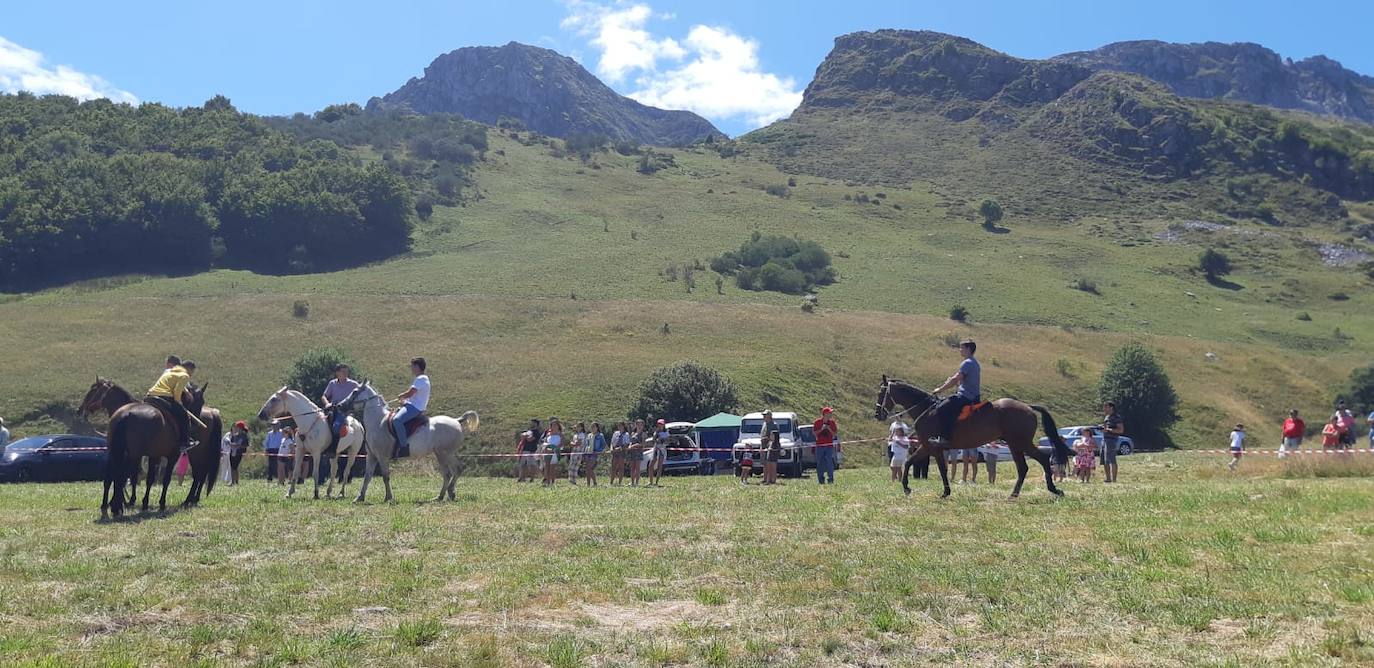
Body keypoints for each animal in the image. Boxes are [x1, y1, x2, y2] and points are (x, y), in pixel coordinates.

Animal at [80, 379, 221, 508]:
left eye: (93, 391)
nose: (80, 410)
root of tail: (212, 412)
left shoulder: (148, 455)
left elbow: (141, 476)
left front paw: (135, 500)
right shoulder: (155, 455)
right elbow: (146, 477)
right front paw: (137, 500)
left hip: (196, 453)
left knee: (200, 473)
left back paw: (190, 500)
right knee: (199, 474)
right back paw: (190, 500)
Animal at [338, 382, 478, 500]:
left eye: (355, 392)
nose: (339, 405)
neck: (378, 421)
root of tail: (457, 420)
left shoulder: (382, 457)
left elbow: (385, 476)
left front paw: (388, 497)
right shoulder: (372, 456)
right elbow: (367, 477)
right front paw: (360, 497)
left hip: (444, 453)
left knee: (453, 471)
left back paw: (446, 493)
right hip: (442, 454)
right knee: (451, 473)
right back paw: (444, 495)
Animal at [873, 373, 1077, 497]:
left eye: (881, 392)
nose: (877, 414)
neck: (927, 409)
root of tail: (1027, 406)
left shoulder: (931, 446)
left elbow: (936, 468)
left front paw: (938, 491)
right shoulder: (927, 446)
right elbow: (911, 462)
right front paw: (910, 488)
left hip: (1020, 443)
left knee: (1038, 460)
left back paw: (1048, 489)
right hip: (1016, 444)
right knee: (1028, 465)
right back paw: (1023, 493)